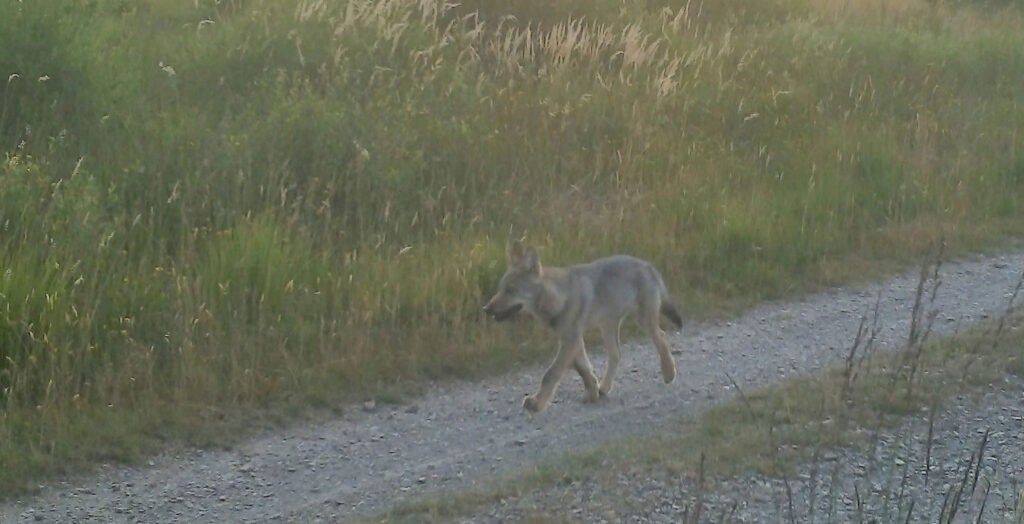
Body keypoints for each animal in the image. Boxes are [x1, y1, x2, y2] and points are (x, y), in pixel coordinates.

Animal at [483, 241, 682, 413]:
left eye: (511, 290)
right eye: (500, 289)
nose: (486, 309)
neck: (558, 298)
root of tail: (648, 265)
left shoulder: (570, 340)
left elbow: (551, 374)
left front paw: (537, 403)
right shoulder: (573, 340)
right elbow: (584, 370)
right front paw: (593, 392)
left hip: (643, 321)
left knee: (662, 337)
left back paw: (668, 373)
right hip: (608, 327)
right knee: (616, 355)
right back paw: (604, 387)